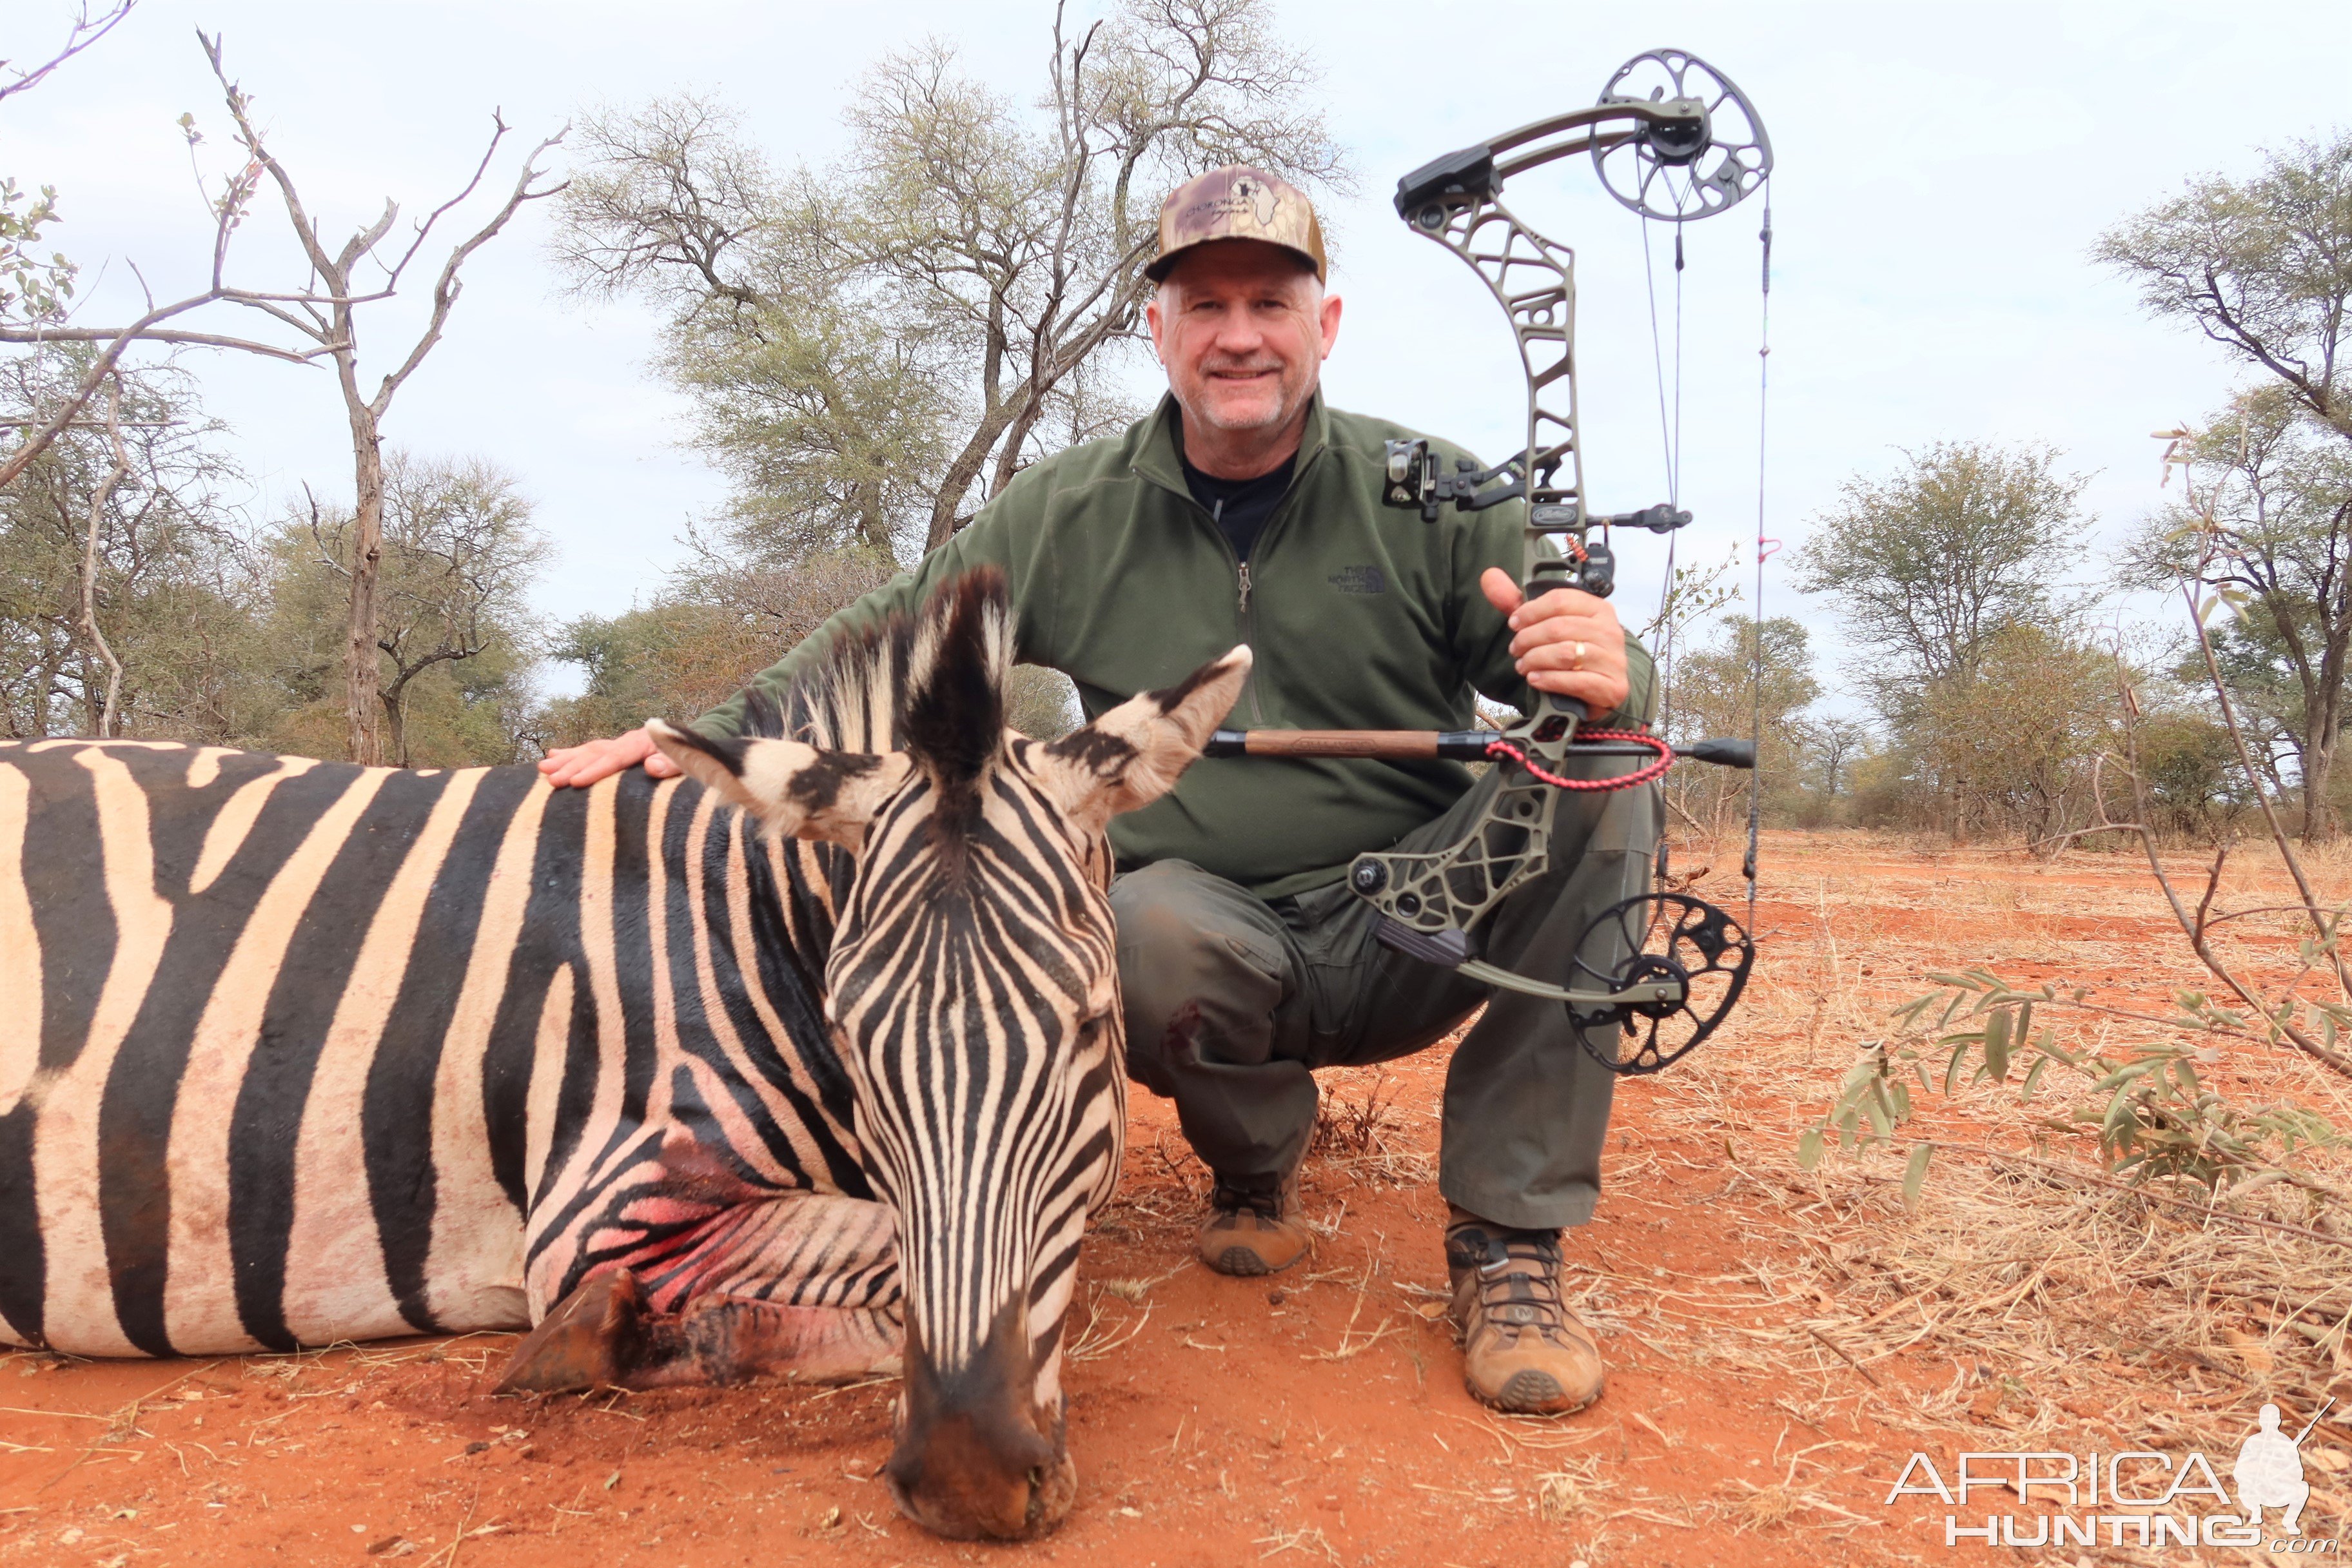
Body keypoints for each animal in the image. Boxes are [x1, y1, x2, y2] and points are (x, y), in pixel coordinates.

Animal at [0, 569, 1250, 1541]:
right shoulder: (603, 1205)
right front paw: (612, 1334)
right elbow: (897, 1269)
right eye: (852, 1039)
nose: (966, 1478)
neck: (746, 931)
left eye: (1087, 1026)